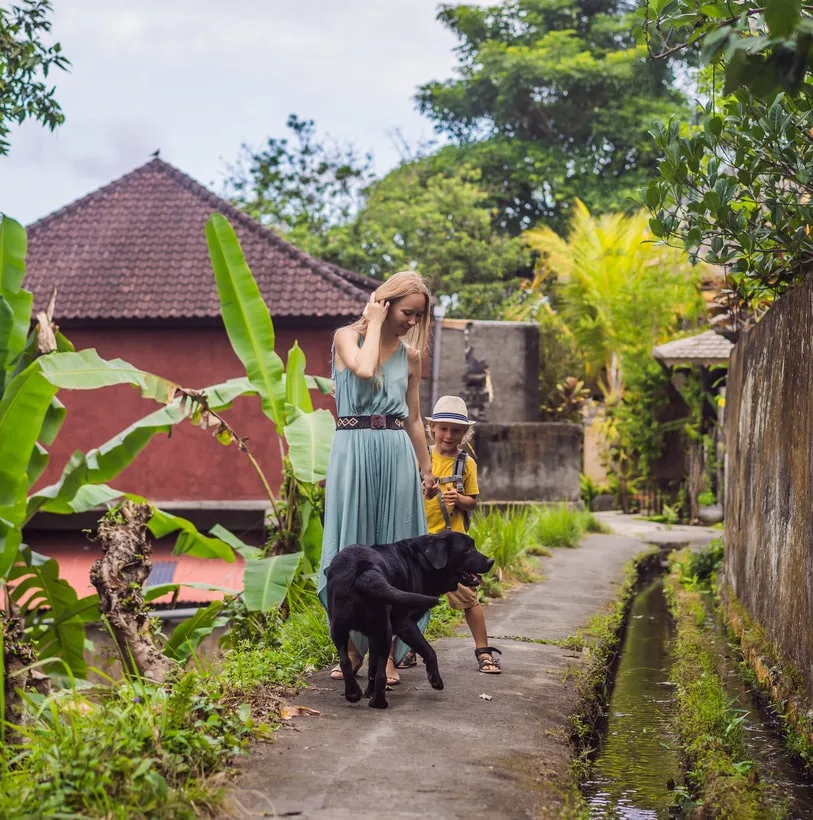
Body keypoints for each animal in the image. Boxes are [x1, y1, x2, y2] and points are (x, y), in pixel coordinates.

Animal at [326, 528, 492, 708]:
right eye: (467, 549)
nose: (491, 561)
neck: (422, 562)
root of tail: (364, 571)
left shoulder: (372, 634)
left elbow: (372, 666)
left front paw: (368, 691)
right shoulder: (405, 624)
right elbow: (429, 651)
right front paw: (435, 680)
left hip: (339, 628)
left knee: (346, 661)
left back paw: (353, 694)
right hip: (384, 631)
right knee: (381, 674)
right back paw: (379, 702)